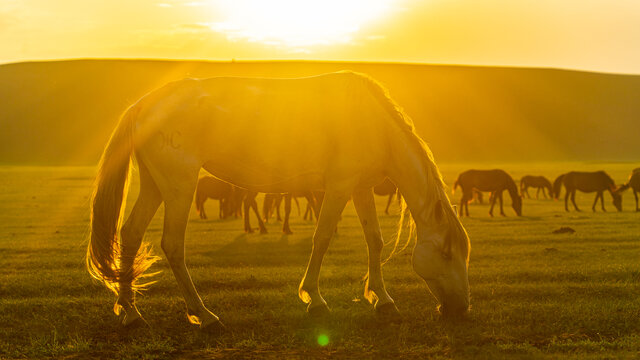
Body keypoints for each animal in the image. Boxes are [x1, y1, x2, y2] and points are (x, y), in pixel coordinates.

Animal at [86, 70, 470, 330]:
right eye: (446, 253)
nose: (461, 310)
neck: (372, 121)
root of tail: (142, 105)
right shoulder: (339, 187)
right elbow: (321, 238)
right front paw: (314, 299)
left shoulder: (360, 189)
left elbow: (374, 241)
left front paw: (383, 300)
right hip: (179, 186)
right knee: (172, 245)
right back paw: (204, 315)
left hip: (156, 186)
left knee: (131, 234)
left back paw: (131, 312)